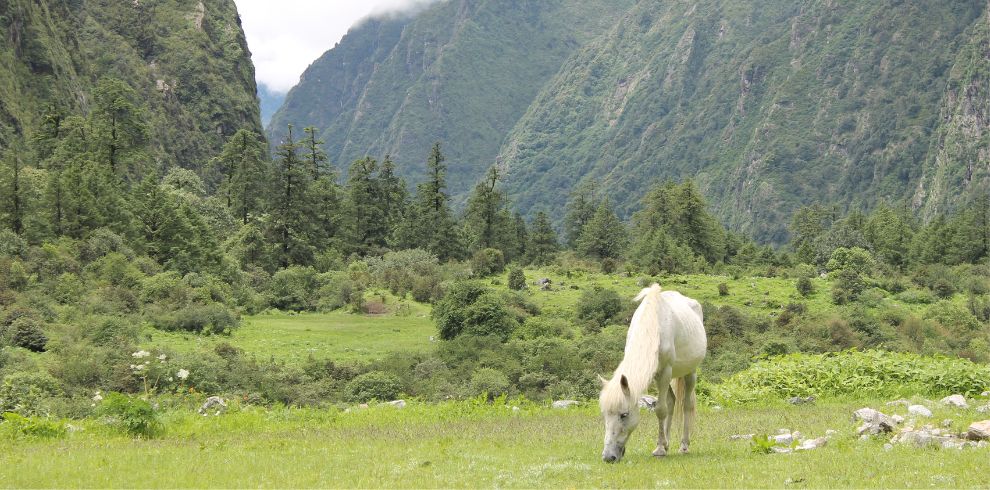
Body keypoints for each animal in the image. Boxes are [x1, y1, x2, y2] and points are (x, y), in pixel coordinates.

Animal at [600, 284, 708, 464]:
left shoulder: (664, 373)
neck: (653, 327)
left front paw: (659, 450)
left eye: (624, 415)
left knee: (686, 404)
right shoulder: (654, 375)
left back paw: (683, 446)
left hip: (689, 373)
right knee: (672, 402)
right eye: (605, 414)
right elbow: (665, 407)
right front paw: (662, 445)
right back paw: (667, 443)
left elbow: (660, 410)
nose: (609, 457)